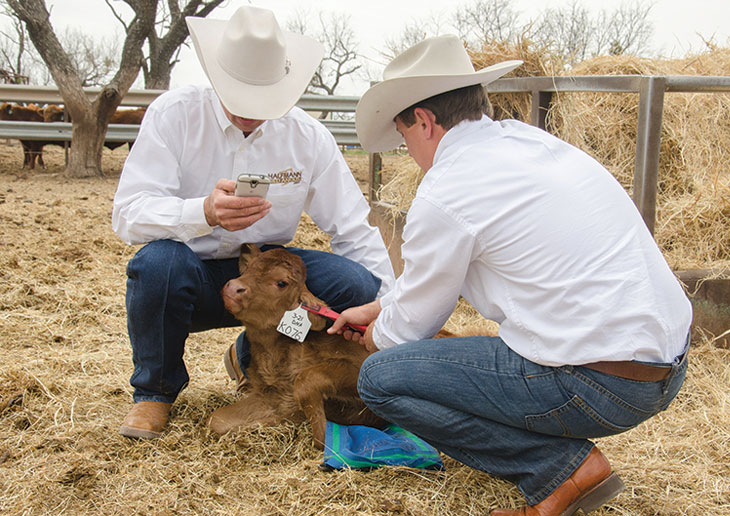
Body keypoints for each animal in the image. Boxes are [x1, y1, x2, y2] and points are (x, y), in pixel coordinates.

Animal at [208, 244, 384, 450]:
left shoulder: (361, 365)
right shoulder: (271, 395)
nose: (233, 287)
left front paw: (323, 438)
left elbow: (307, 378)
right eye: (248, 268)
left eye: (281, 283)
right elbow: (216, 419)